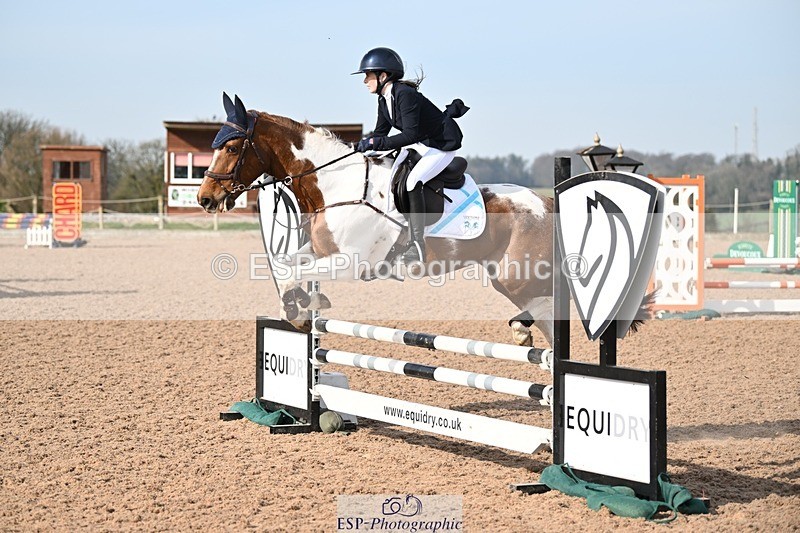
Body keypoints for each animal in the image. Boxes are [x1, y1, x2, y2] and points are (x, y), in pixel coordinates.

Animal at [197, 94, 555, 348]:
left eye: (231, 148)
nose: (205, 198)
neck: (336, 184)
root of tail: (545, 202)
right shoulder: (320, 252)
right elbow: (286, 266)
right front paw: (304, 305)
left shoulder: (350, 263)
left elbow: (294, 272)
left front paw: (299, 310)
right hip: (510, 277)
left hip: (516, 276)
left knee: (549, 305)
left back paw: (521, 331)